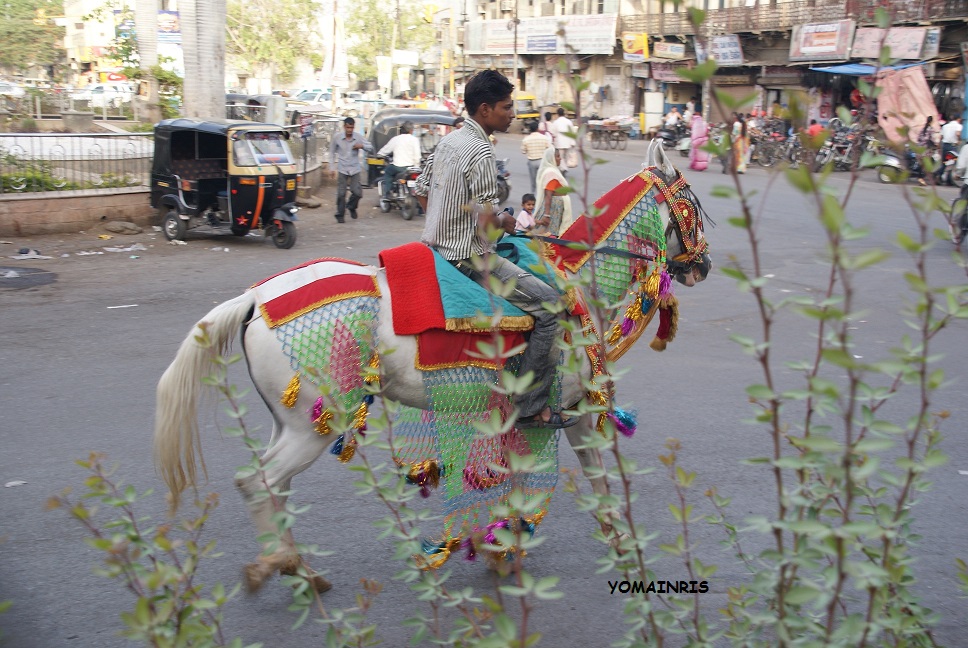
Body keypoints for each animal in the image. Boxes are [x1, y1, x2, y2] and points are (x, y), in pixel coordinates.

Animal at [153, 142, 712, 592]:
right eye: (692, 201)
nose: (703, 265)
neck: (573, 281)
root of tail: (255, 298)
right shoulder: (560, 413)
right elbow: (569, 485)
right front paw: (602, 549)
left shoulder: (533, 418)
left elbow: (544, 487)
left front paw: (510, 548)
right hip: (317, 424)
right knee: (258, 483)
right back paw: (282, 566)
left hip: (291, 421)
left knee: (276, 487)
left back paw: (299, 569)